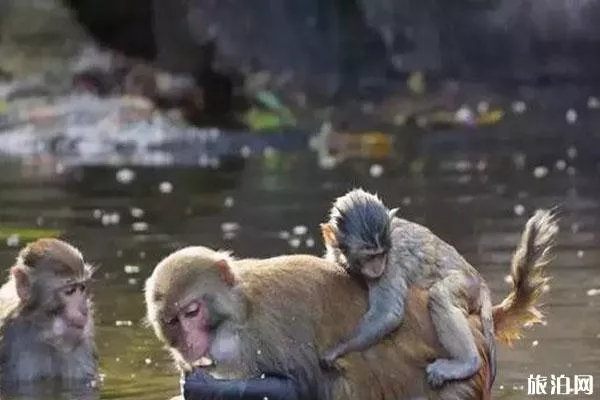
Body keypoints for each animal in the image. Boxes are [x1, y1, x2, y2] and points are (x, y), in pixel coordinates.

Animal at [322, 189, 560, 390]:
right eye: (370, 256)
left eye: (381, 254)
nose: (377, 266)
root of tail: (480, 281)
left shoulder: (391, 263)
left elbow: (388, 314)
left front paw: (338, 349)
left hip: (468, 285)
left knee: (441, 295)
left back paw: (467, 362)